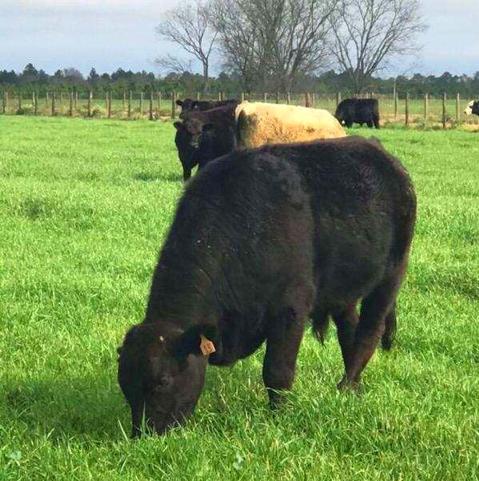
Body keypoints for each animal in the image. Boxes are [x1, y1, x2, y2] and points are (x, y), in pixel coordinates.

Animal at [117, 135, 416, 436]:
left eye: (163, 381)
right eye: (124, 384)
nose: (143, 434)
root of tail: (376, 149)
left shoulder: (291, 307)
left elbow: (276, 371)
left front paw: (278, 415)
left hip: (391, 274)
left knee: (370, 331)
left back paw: (345, 385)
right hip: (344, 288)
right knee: (349, 329)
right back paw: (354, 385)